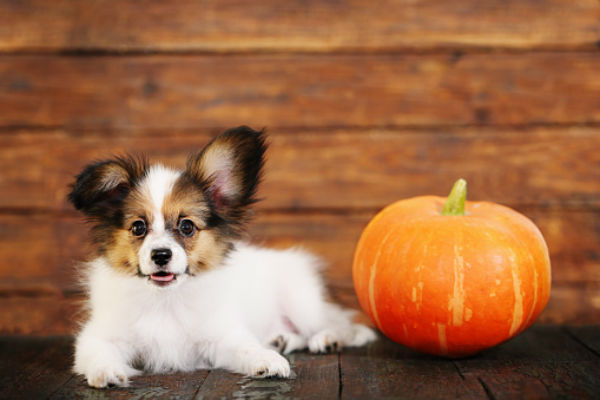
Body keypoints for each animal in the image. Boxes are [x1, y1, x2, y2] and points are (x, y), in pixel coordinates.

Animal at [69, 126, 376, 388]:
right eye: (138, 227)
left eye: (187, 226)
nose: (161, 255)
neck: (166, 300)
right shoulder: (98, 336)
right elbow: (97, 353)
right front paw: (106, 372)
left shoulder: (223, 335)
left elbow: (247, 347)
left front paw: (267, 359)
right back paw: (280, 340)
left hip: (303, 302)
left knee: (341, 324)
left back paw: (326, 339)